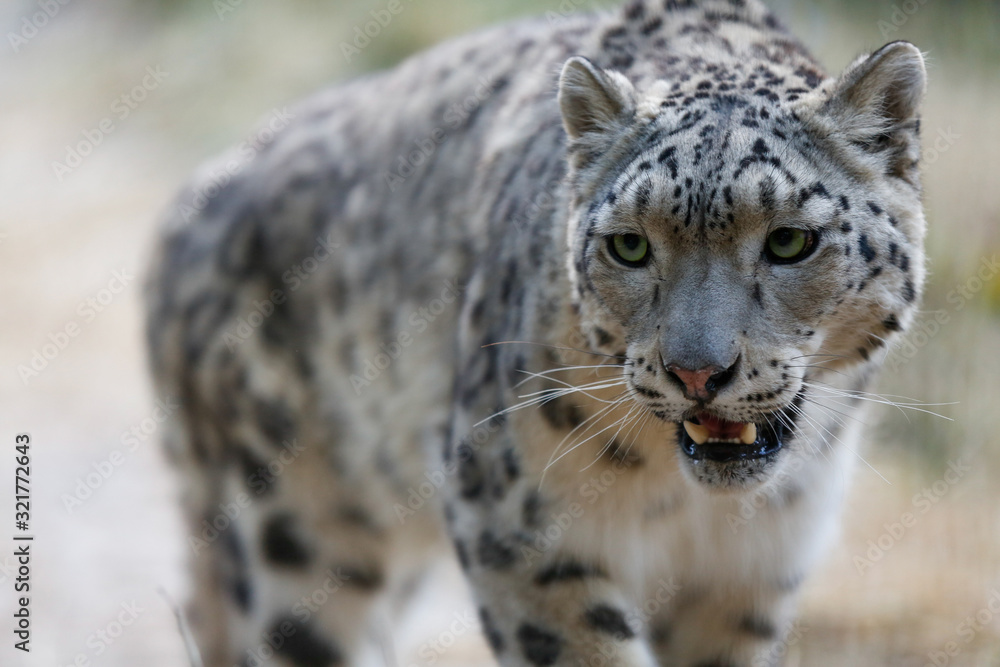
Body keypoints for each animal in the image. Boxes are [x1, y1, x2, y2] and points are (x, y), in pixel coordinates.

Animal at [144, 0, 928, 665]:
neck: (687, 507)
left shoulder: (754, 574)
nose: (697, 372)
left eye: (790, 240)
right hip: (295, 529)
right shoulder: (518, 527)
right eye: (630, 246)